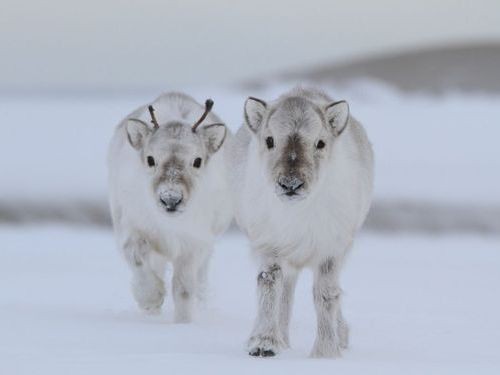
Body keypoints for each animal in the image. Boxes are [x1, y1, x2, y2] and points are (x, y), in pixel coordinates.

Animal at [108, 93, 232, 324]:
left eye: (197, 161)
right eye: (150, 159)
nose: (171, 200)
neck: (169, 224)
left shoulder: (194, 244)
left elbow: (183, 289)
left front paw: (183, 322)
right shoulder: (133, 228)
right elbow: (137, 258)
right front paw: (151, 299)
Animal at [229, 87, 374, 358]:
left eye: (320, 142)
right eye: (269, 140)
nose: (290, 184)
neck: (296, 213)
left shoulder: (331, 250)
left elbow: (326, 295)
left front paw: (326, 352)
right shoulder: (270, 246)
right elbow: (269, 285)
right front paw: (263, 344)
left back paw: (342, 336)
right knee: (286, 293)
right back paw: (282, 341)